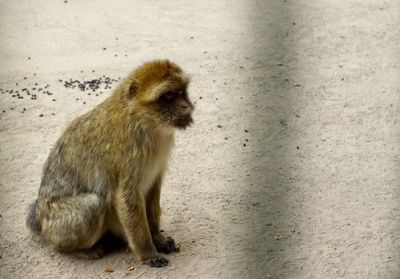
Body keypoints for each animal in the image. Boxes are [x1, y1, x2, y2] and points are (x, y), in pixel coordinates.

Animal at [25, 60, 195, 268]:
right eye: (169, 95)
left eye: (181, 91)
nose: (186, 106)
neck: (145, 121)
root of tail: (39, 217)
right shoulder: (130, 153)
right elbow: (126, 197)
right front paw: (148, 252)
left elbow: (153, 190)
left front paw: (157, 238)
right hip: (56, 225)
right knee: (92, 205)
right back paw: (74, 250)